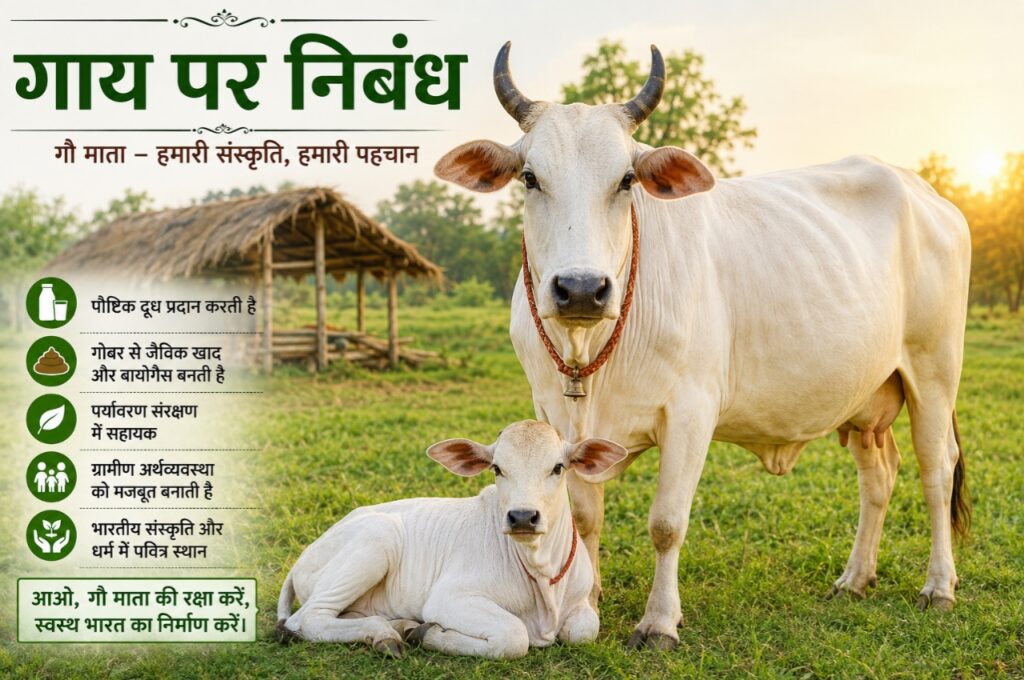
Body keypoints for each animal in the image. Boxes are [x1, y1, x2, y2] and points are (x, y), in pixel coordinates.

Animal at [276, 420, 628, 658]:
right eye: (497, 468)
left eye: (557, 467)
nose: (522, 517)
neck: (541, 574)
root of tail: (300, 561)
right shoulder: (448, 598)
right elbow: (514, 636)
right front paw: (430, 634)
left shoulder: (581, 602)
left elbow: (584, 631)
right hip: (378, 538)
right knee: (308, 620)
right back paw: (386, 635)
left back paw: (399, 627)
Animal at [434, 42, 971, 649]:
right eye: (529, 177)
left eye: (626, 179)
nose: (581, 289)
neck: (587, 349)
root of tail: (928, 194)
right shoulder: (554, 413)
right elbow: (584, 514)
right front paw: (586, 601)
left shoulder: (691, 413)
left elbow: (666, 524)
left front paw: (660, 621)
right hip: (866, 395)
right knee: (878, 476)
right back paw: (854, 578)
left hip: (934, 372)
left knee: (936, 470)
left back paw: (939, 586)